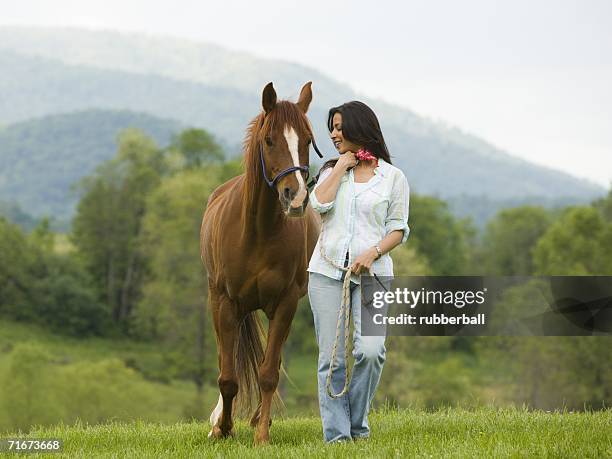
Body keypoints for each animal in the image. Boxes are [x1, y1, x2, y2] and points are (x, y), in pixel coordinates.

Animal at [203, 82, 322, 446]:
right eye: (269, 140)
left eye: (307, 140)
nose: (295, 198)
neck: (258, 233)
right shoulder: (226, 303)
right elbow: (228, 377)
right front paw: (223, 427)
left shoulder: (285, 304)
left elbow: (268, 373)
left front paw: (261, 435)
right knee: (224, 360)